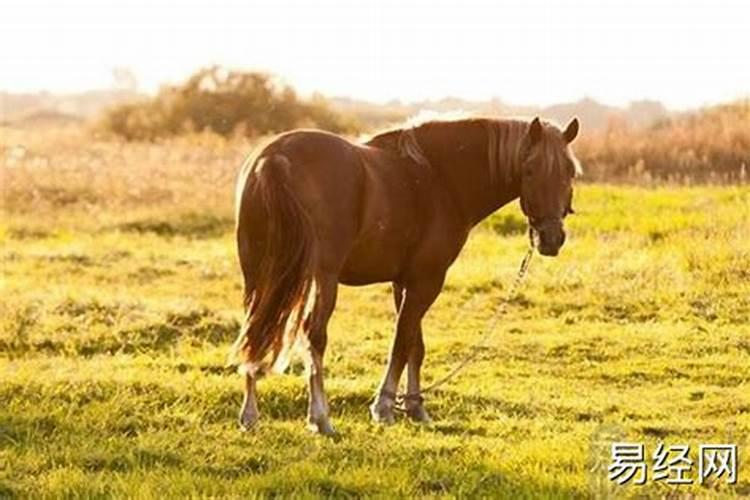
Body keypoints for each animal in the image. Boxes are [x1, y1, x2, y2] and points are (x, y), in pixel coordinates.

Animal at [229, 116, 580, 434]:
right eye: (530, 170)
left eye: (569, 171)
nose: (551, 239)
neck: (439, 179)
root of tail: (274, 159)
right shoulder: (427, 280)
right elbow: (402, 341)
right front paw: (384, 407)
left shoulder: (405, 281)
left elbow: (415, 344)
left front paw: (414, 407)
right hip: (322, 278)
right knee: (313, 336)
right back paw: (320, 418)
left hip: (257, 274)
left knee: (253, 329)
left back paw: (250, 415)